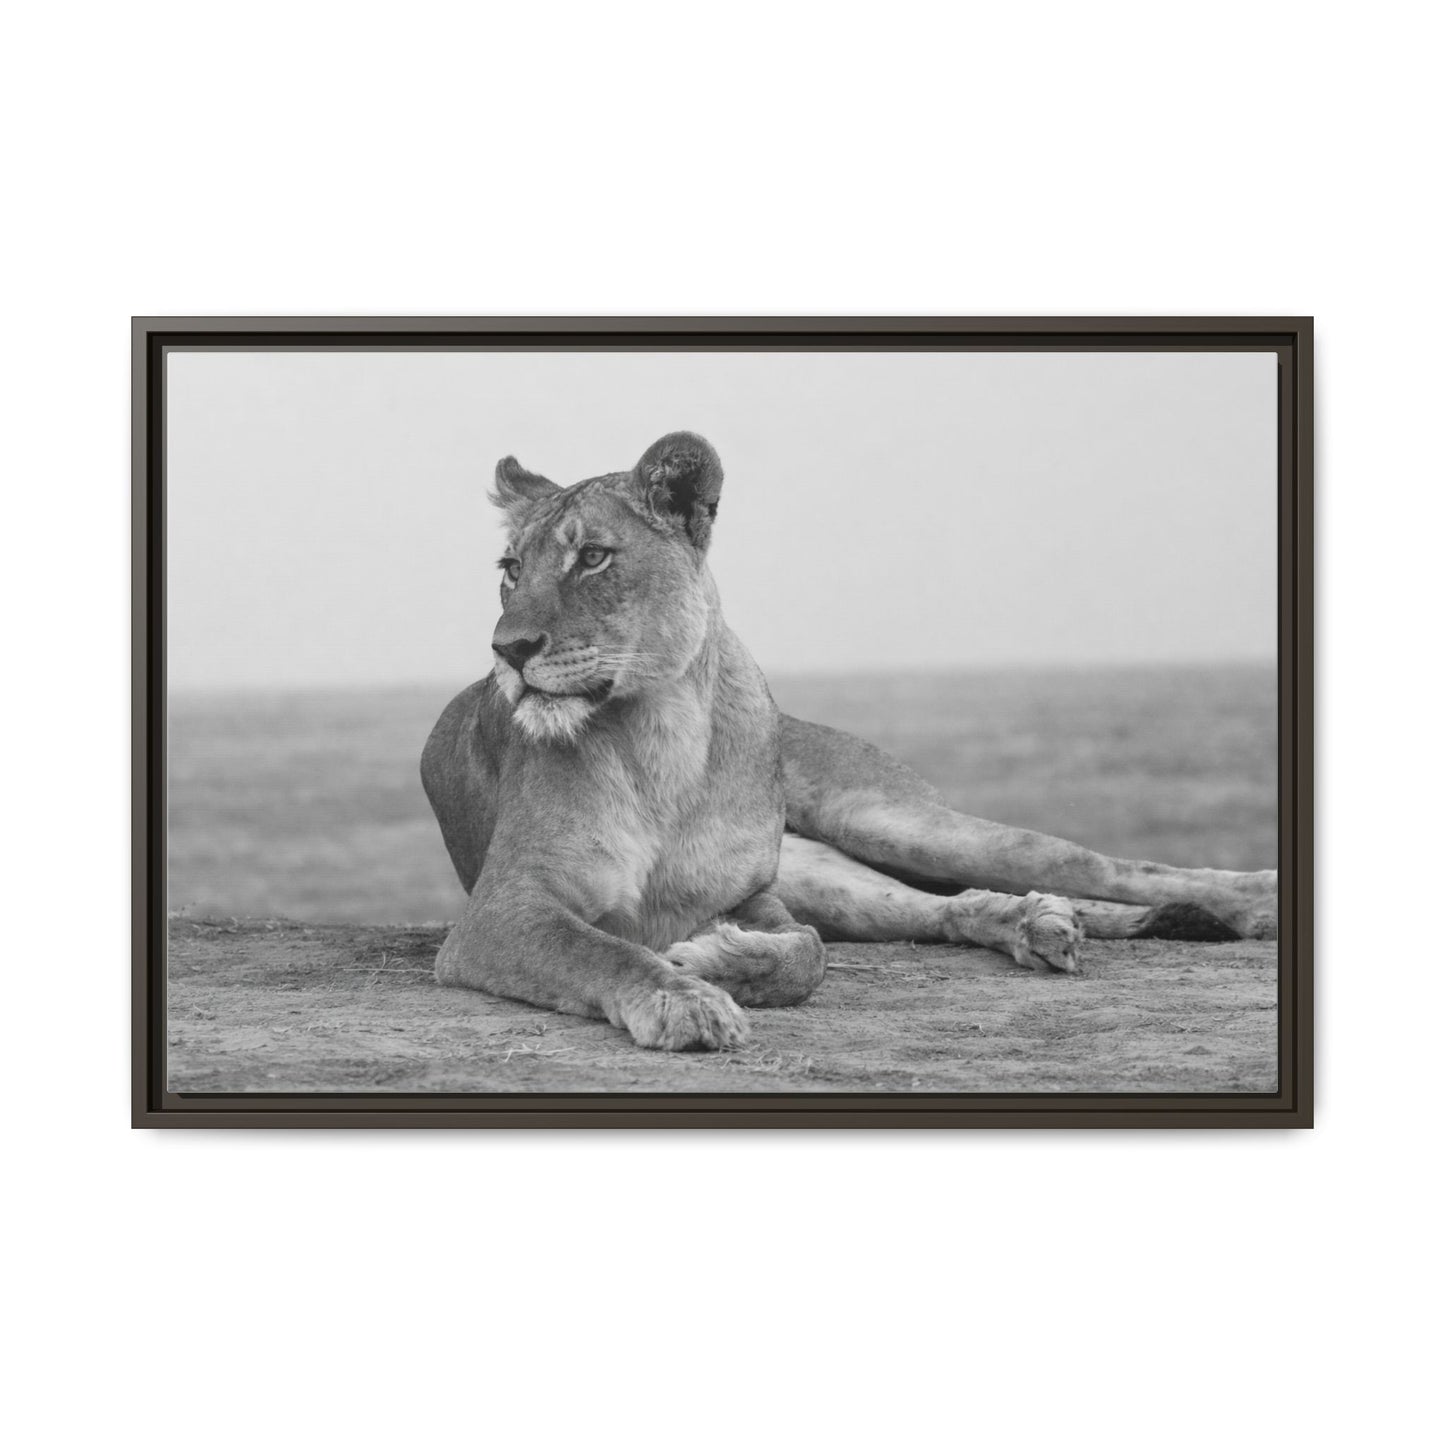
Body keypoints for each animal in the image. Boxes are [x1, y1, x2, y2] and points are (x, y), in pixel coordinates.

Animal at [421, 431, 1278, 1051]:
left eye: (593, 556)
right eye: (510, 567)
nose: (507, 649)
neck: (660, 736)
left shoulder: (750, 894)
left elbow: (807, 956)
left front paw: (708, 960)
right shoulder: (502, 910)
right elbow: (606, 948)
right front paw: (685, 997)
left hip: (885, 819)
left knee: (1100, 865)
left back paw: (1251, 897)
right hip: (832, 873)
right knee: (947, 906)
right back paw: (1036, 922)